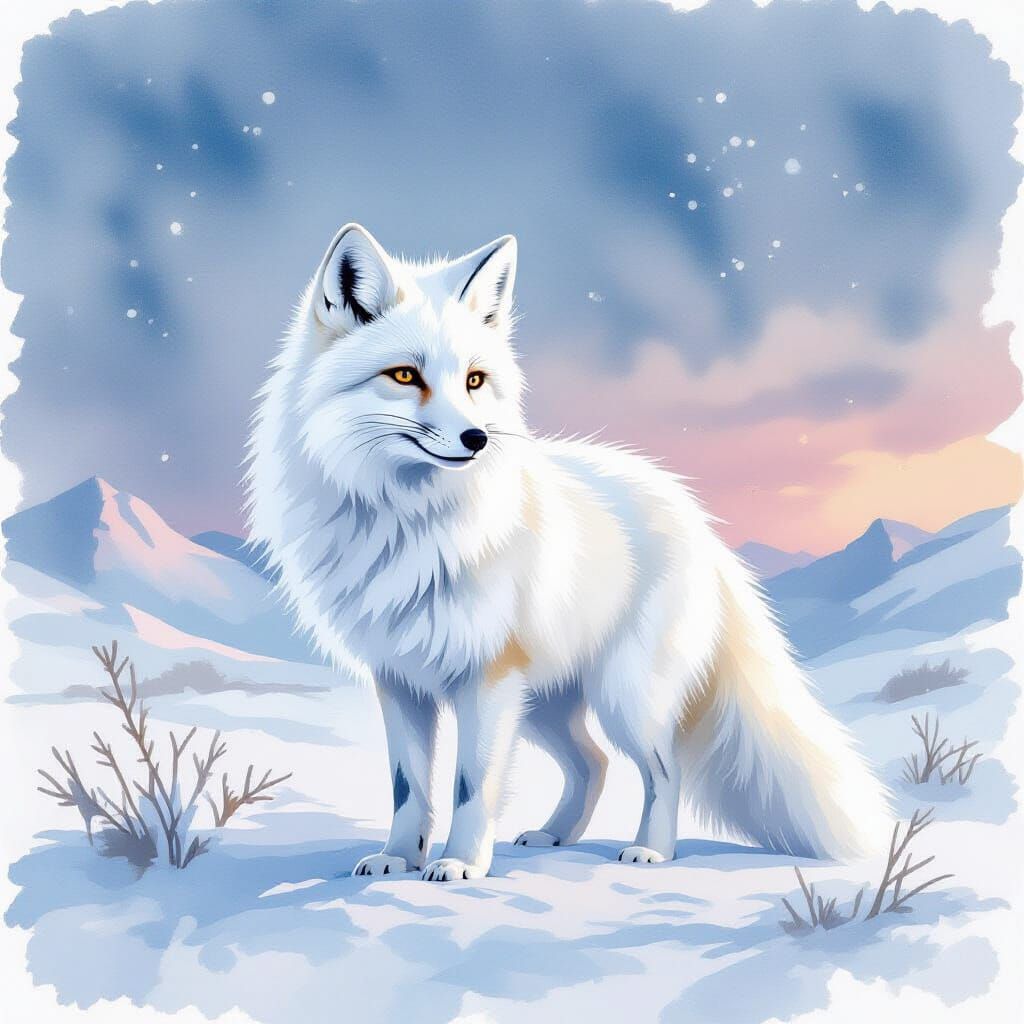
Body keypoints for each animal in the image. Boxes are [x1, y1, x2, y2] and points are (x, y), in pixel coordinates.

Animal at [245, 223, 892, 881]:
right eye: (405, 376)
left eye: (475, 381)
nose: (477, 439)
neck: (406, 521)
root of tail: (698, 519)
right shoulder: (400, 679)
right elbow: (411, 787)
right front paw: (399, 858)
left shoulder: (486, 676)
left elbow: (471, 785)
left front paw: (460, 864)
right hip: (544, 707)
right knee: (594, 763)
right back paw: (556, 835)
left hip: (622, 698)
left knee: (664, 769)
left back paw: (652, 851)